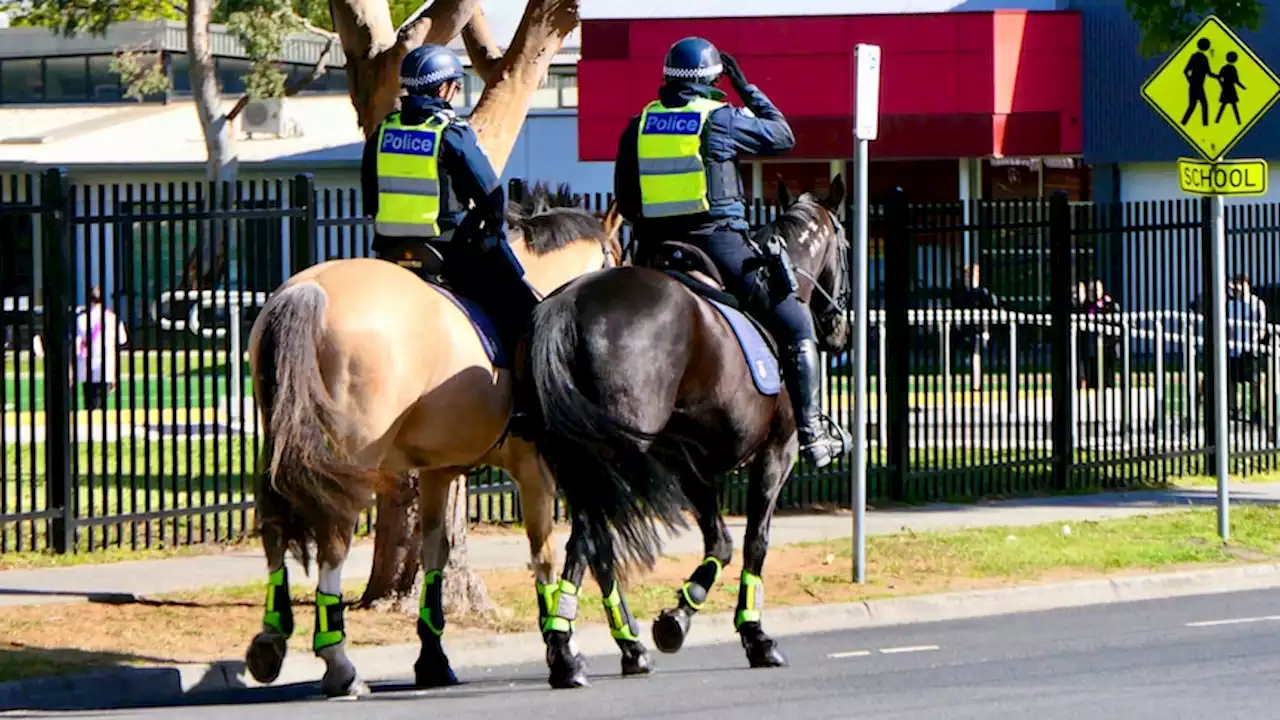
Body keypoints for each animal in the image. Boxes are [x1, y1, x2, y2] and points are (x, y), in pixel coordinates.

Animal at [243, 180, 655, 696]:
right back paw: (339, 664)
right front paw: (570, 653)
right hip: (349, 458)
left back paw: (271, 641)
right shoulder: (539, 468)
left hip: (282, 446)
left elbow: (436, 553)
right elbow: (550, 553)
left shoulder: (438, 472)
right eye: (613, 264)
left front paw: (433, 658)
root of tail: (309, 289)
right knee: (333, 538)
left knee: (275, 529)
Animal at [524, 176, 855, 681]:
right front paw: (753, 635)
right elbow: (754, 541)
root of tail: (570, 303)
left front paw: (680, 613)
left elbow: (719, 540)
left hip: (584, 461)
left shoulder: (685, 461)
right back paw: (585, 647)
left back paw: (583, 648)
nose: (840, 331)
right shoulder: (777, 451)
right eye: (848, 245)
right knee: (589, 540)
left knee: (588, 541)